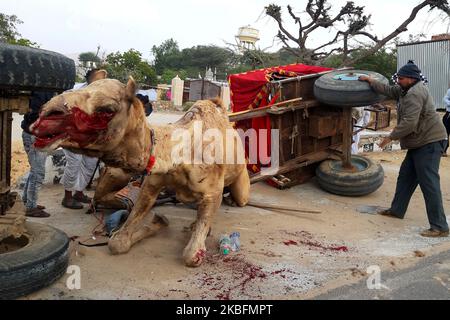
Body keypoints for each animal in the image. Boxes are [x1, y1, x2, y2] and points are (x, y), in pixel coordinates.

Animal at [30, 77, 250, 268]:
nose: (43, 117)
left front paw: (196, 232)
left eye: (107, 110)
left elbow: (191, 255)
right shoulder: (153, 182)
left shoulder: (213, 192)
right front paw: (159, 221)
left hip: (242, 181)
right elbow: (117, 241)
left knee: (241, 198)